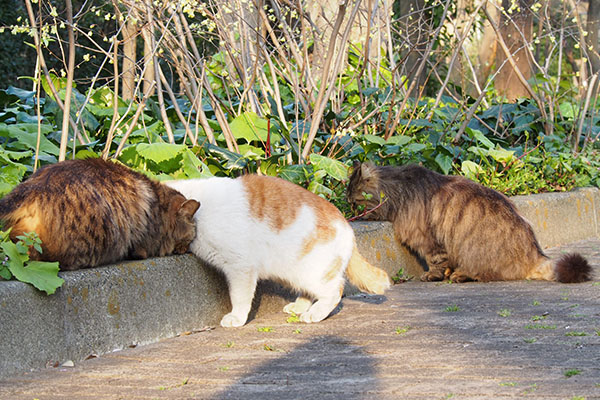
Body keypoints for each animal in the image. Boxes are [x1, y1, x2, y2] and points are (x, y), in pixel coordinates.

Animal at [164, 176, 392, 328]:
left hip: (314, 273)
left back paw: (315, 313)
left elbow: (239, 297)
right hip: (295, 273)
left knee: (335, 290)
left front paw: (237, 317)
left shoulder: (241, 267)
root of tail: (346, 224)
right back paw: (299, 307)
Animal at [344, 161, 592, 282]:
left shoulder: (428, 240)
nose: (349, 211)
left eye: (355, 202)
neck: (400, 188)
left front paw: (434, 275)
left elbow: (436, 261)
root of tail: (535, 254)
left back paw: (460, 275)